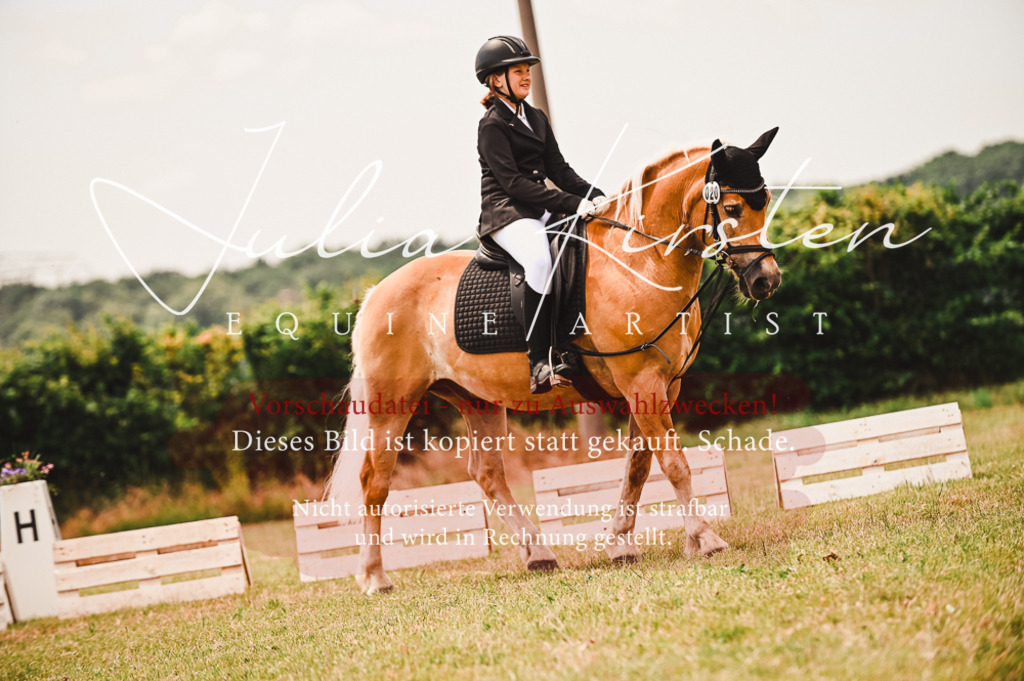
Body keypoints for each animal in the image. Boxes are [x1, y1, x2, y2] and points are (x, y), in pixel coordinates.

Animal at [327, 129, 783, 593]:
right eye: (732, 208)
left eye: (764, 201)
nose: (766, 281)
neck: (641, 262)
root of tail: (375, 294)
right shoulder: (641, 381)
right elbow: (673, 463)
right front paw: (705, 538)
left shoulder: (662, 384)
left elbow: (637, 468)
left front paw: (622, 544)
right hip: (391, 404)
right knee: (374, 482)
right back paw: (375, 577)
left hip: (477, 400)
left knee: (487, 474)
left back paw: (539, 554)